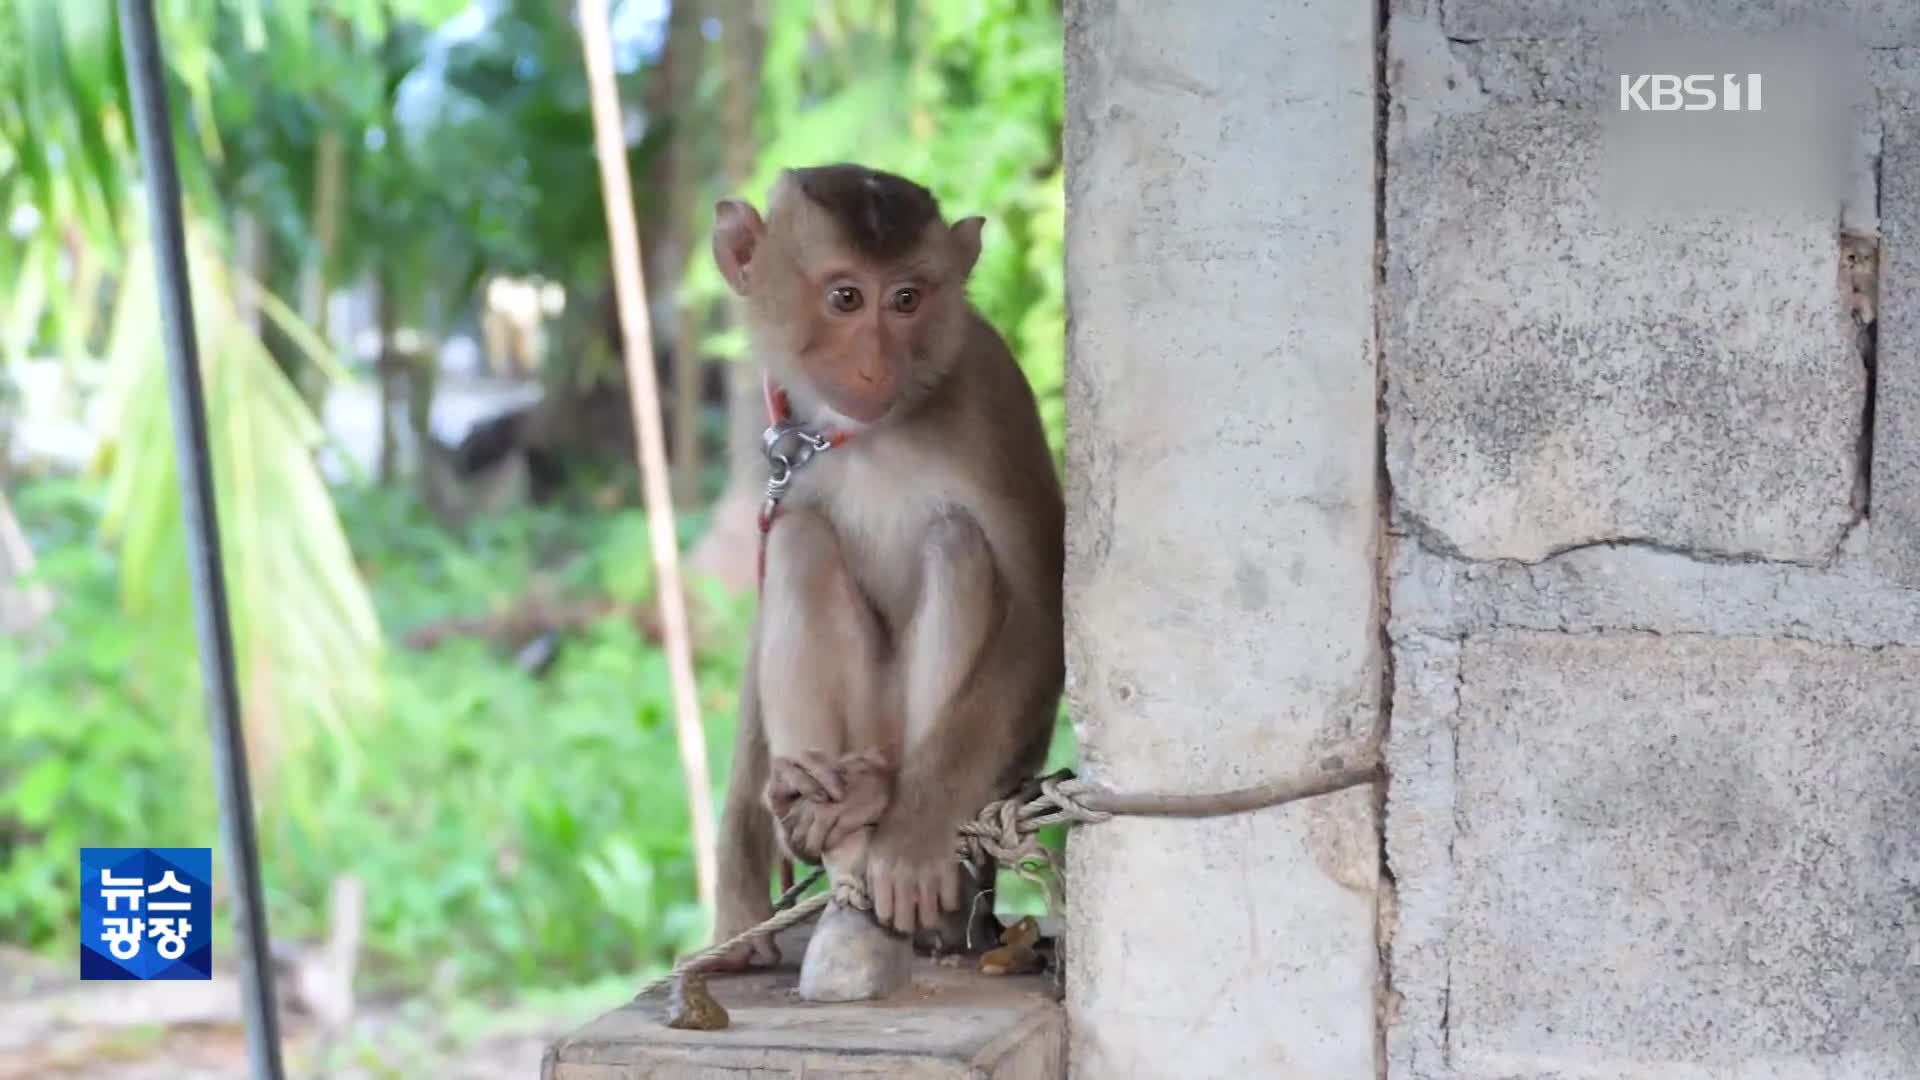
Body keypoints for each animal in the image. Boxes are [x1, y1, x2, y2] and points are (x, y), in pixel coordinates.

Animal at [706, 161, 1067, 968]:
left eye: (906, 299)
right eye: (846, 298)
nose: (874, 365)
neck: (863, 433)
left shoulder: (992, 396)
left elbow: (1041, 613)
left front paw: (911, 839)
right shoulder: (780, 441)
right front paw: (738, 887)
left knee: (956, 544)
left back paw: (911, 864)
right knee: (800, 539)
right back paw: (817, 822)